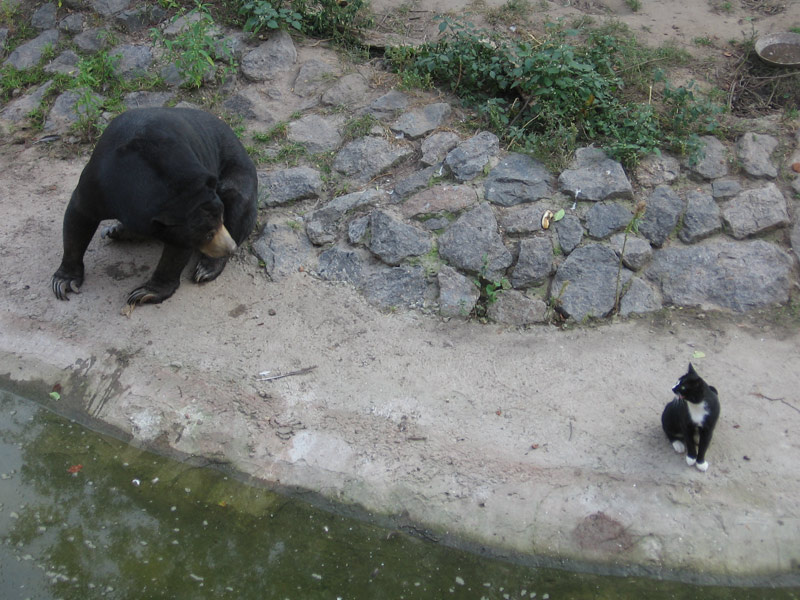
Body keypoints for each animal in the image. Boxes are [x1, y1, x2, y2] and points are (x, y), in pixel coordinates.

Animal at [51, 107, 258, 306]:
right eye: (208, 234)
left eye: (221, 220)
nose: (230, 247)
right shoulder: (98, 180)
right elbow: (79, 216)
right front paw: (64, 282)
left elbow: (176, 252)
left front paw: (144, 293)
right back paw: (117, 230)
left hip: (239, 178)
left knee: (238, 203)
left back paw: (206, 268)